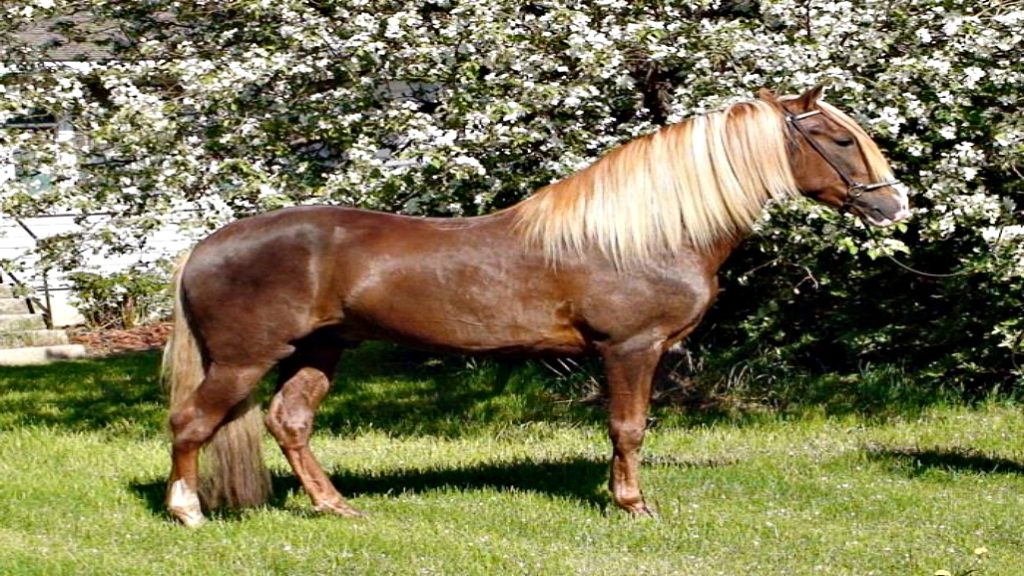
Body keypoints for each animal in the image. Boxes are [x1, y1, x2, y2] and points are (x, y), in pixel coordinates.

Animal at [162, 85, 910, 527]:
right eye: (839, 139)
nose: (893, 204)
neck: (646, 231)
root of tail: (204, 246)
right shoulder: (630, 349)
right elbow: (628, 429)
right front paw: (633, 505)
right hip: (245, 358)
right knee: (192, 423)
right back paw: (187, 512)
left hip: (320, 349)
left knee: (288, 423)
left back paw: (334, 505)